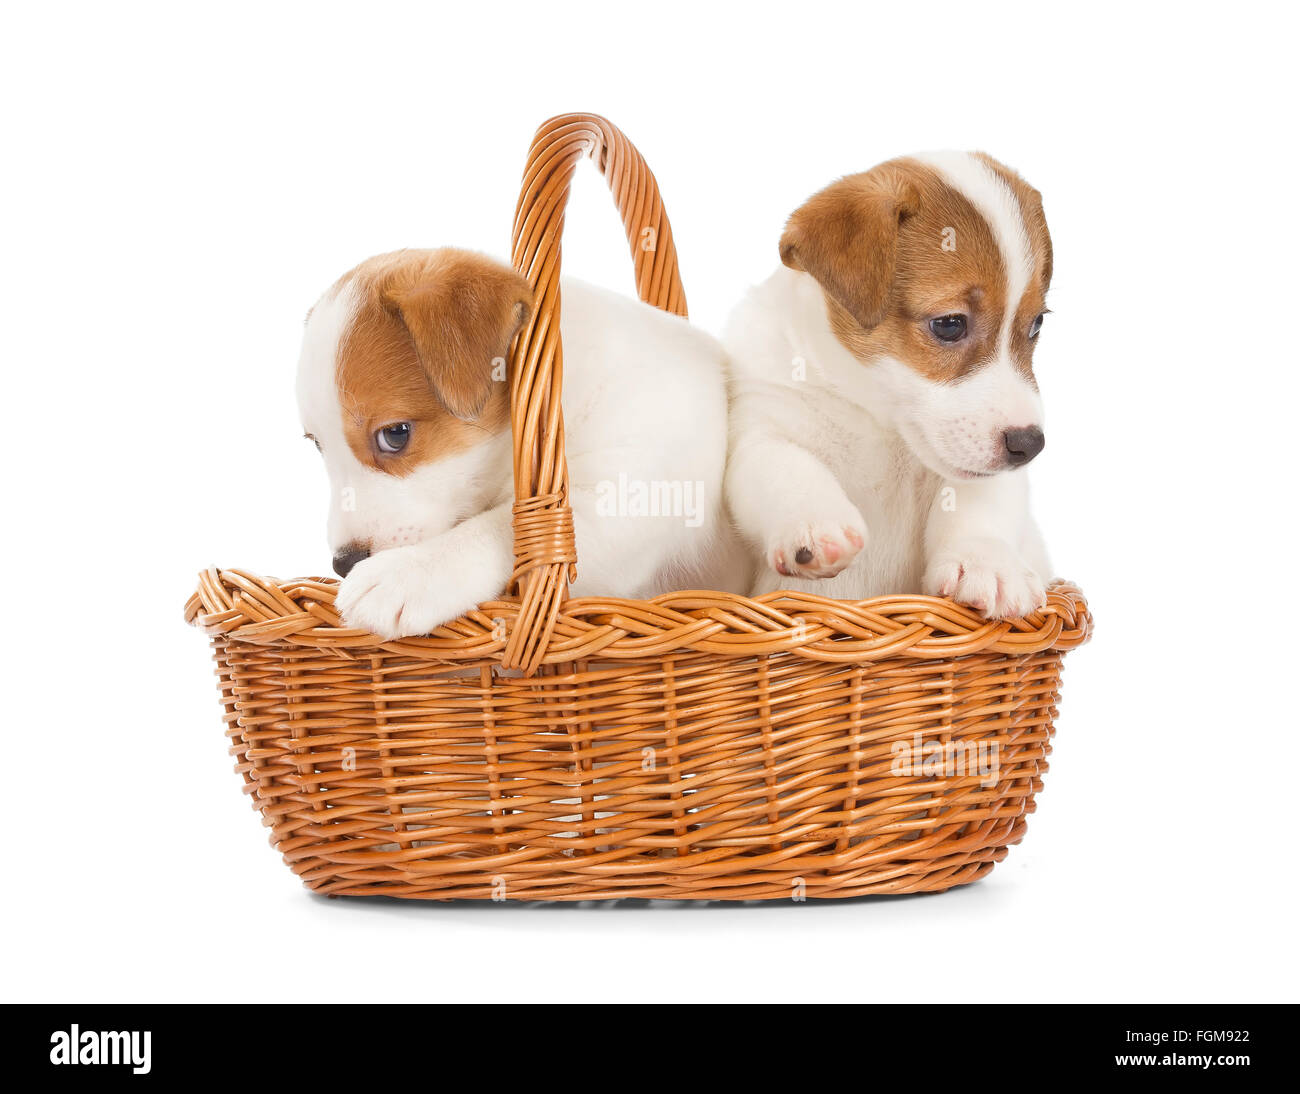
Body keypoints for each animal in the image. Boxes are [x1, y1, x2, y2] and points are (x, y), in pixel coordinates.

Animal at [297, 246, 743, 634]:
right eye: (317, 444)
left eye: (394, 435)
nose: (343, 563)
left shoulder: (632, 501)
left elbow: (510, 527)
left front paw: (407, 573)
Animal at [728, 151, 1060, 613]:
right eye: (949, 324)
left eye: (1036, 324)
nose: (1029, 445)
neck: (881, 424)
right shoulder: (763, 430)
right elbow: (788, 470)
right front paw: (815, 524)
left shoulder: (980, 480)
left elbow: (981, 507)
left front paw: (987, 563)